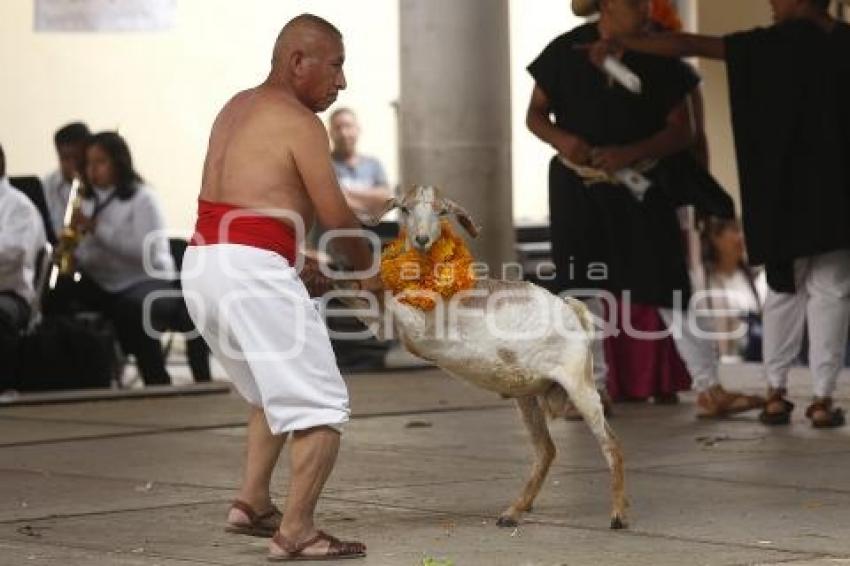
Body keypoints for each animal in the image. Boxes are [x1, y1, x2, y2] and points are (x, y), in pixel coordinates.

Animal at [342, 187, 628, 532]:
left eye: (442, 212)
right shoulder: (387, 326)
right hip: (527, 396)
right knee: (546, 450)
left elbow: (384, 296)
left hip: (579, 385)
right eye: (406, 209)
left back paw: (617, 515)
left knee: (611, 444)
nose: (422, 239)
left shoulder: (417, 325)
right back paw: (513, 512)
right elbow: (358, 298)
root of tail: (573, 311)